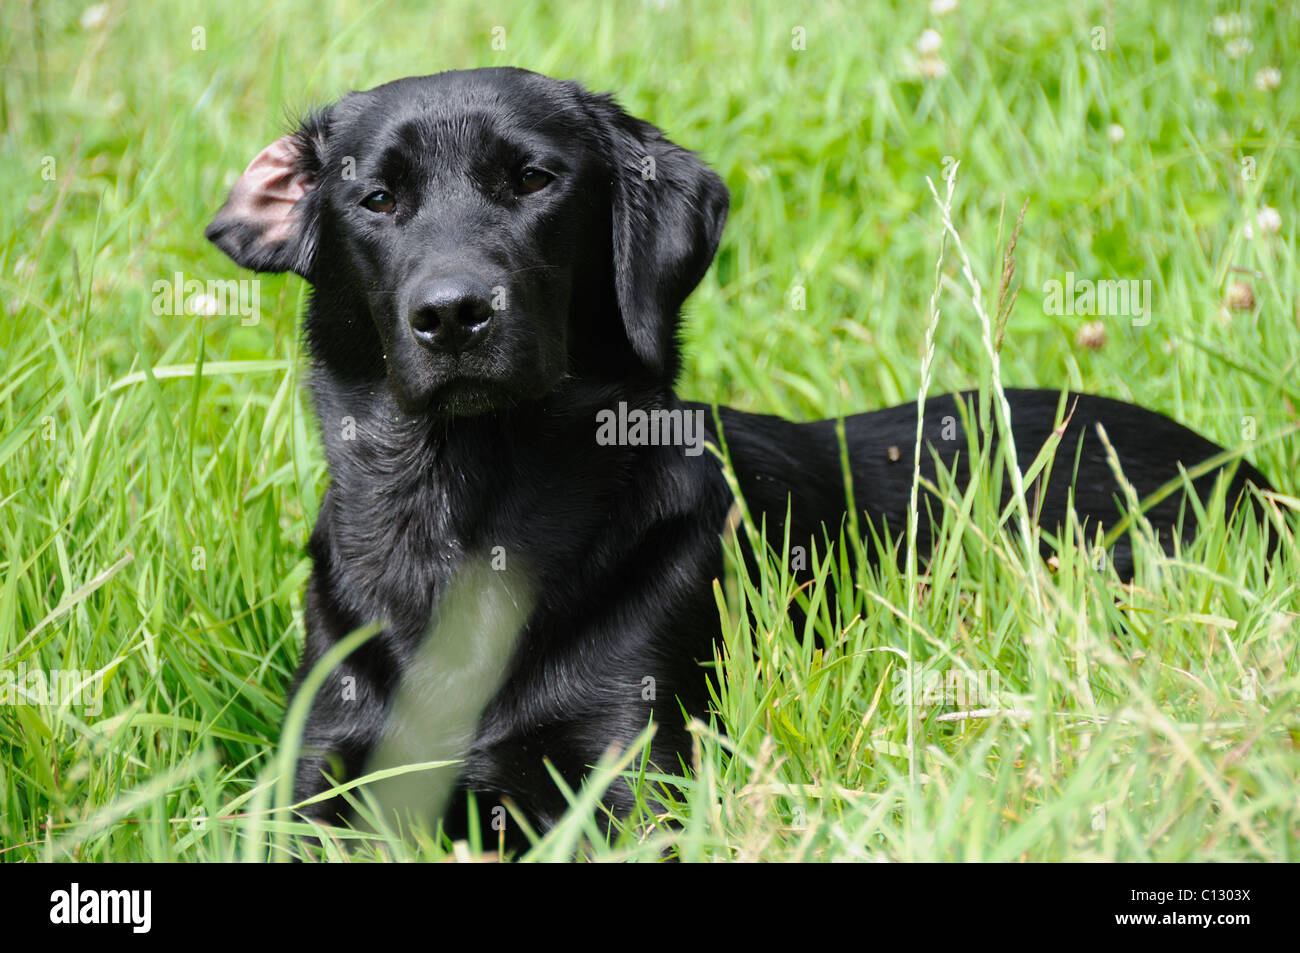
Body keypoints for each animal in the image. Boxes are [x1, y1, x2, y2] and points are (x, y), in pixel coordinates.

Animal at [205, 65, 1268, 842]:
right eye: (377, 198)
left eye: (535, 180)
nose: (453, 313)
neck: (465, 517)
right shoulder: (315, 777)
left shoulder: (633, 778)